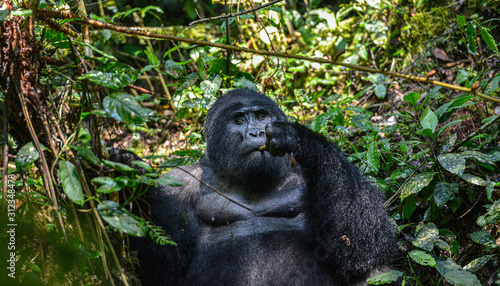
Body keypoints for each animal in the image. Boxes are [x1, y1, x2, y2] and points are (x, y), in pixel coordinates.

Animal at [132, 88, 394, 284]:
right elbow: (166, 267)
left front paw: (301, 138)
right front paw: (136, 186)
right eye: (239, 121)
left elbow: (358, 248)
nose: (256, 132)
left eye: (260, 117)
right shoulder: (179, 182)